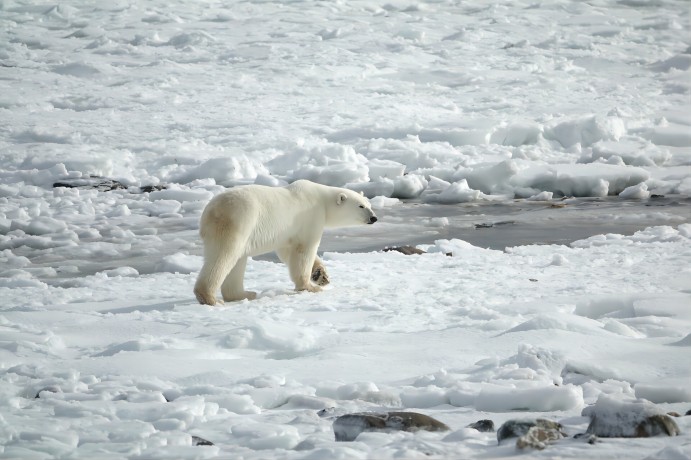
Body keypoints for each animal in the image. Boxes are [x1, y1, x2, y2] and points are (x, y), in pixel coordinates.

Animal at [194, 179, 378, 305]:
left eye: (369, 204)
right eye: (361, 206)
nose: (374, 218)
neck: (322, 200)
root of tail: (210, 212)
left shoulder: (287, 232)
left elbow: (287, 251)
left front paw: (321, 275)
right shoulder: (310, 217)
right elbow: (304, 250)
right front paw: (310, 286)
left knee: (237, 261)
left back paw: (245, 294)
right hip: (238, 221)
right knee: (224, 256)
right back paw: (210, 298)